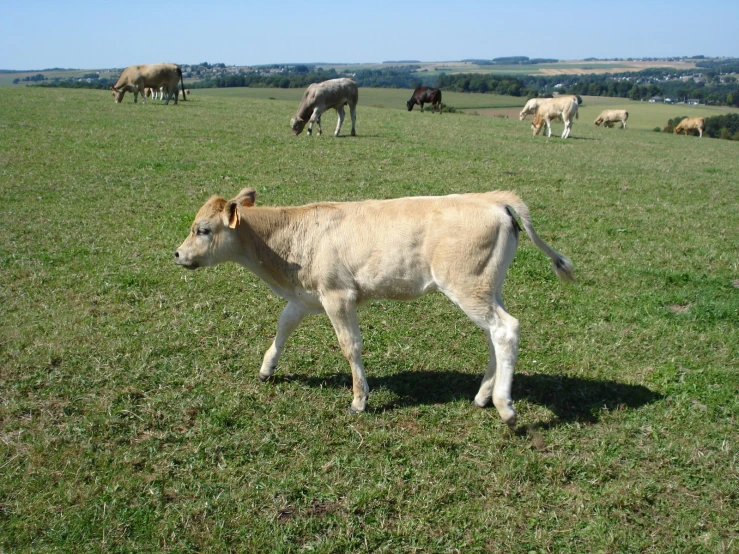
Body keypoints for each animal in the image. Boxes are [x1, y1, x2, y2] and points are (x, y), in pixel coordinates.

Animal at [176, 188, 576, 424]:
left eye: (203, 230)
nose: (177, 254)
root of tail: (493, 198)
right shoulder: (305, 297)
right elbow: (283, 327)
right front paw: (266, 369)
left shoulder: (337, 295)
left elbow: (349, 346)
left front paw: (359, 399)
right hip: (488, 288)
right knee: (494, 334)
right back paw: (482, 396)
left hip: (467, 285)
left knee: (505, 329)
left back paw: (503, 404)